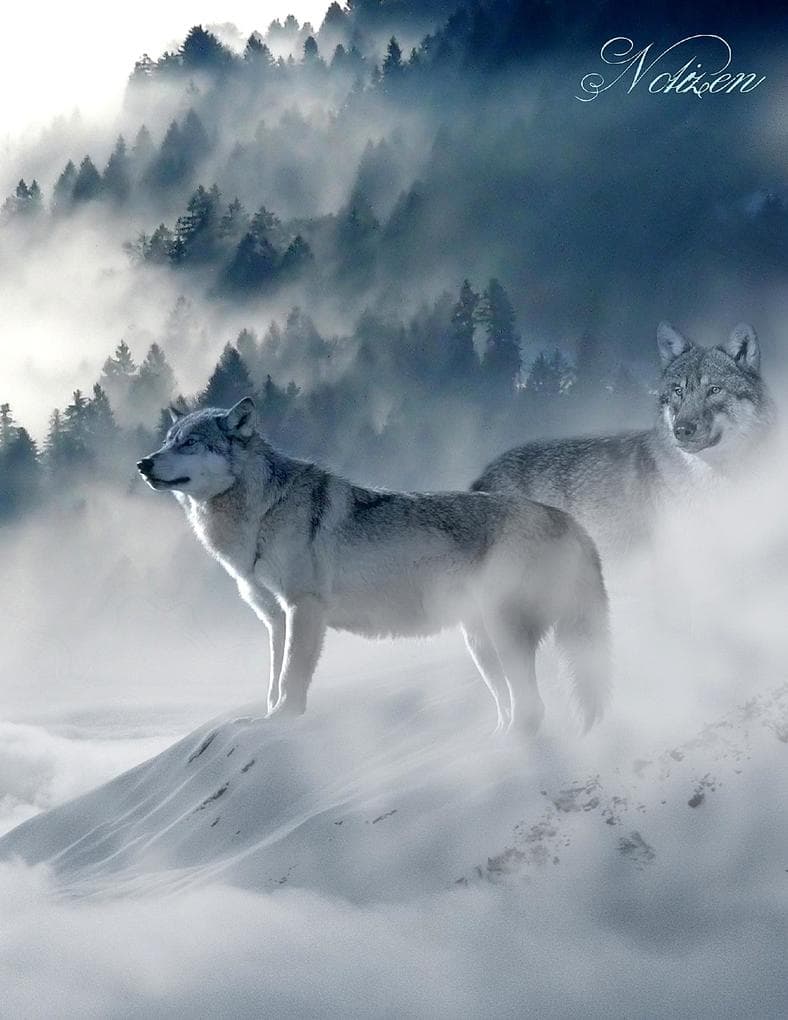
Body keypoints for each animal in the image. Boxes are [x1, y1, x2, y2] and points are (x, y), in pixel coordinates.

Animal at [137, 398, 610, 734]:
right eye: (168, 440)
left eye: (190, 443)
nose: (143, 463)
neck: (261, 511)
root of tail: (570, 522)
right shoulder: (275, 619)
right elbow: (272, 682)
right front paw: (264, 720)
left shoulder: (304, 609)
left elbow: (290, 680)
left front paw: (283, 721)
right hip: (480, 644)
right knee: (514, 707)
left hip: (502, 634)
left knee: (533, 709)